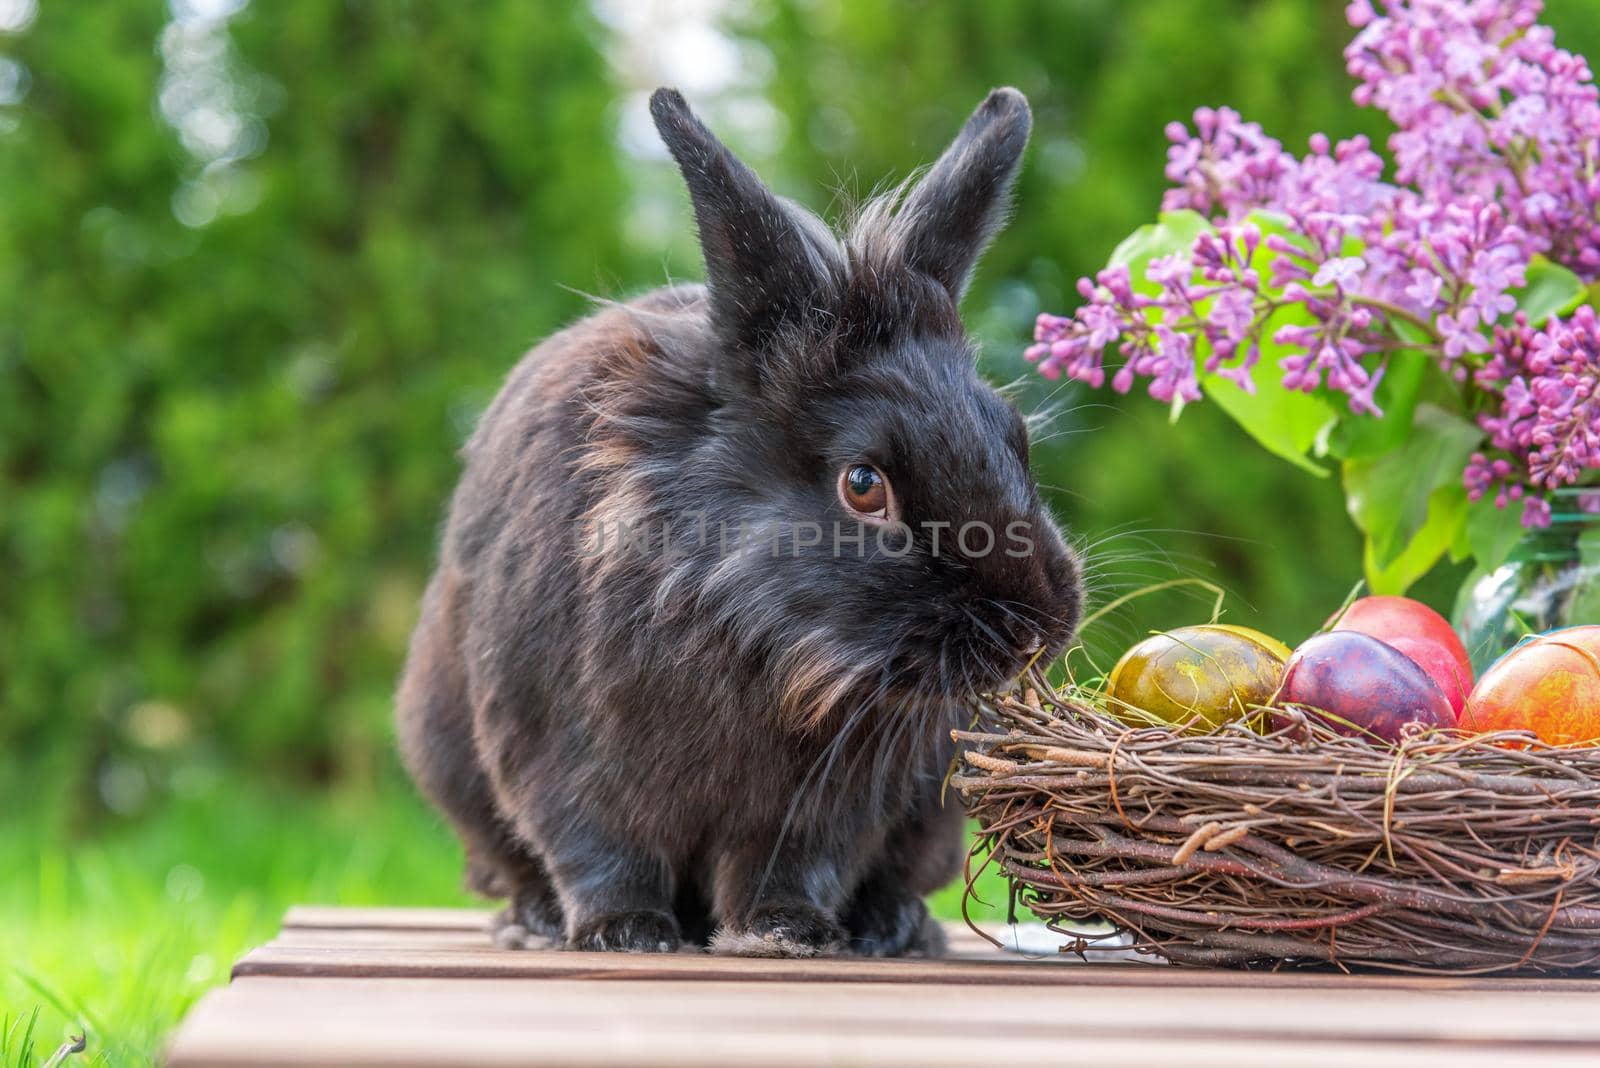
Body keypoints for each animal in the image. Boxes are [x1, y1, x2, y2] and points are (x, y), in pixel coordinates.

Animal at [393, 85, 1081, 959]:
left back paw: (894, 929)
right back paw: (536, 922)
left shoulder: (830, 797)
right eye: (864, 484)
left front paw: (786, 931)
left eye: (1012, 434)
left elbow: (793, 863)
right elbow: (597, 850)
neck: (760, 640)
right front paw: (625, 934)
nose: (1035, 629)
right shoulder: (557, 753)